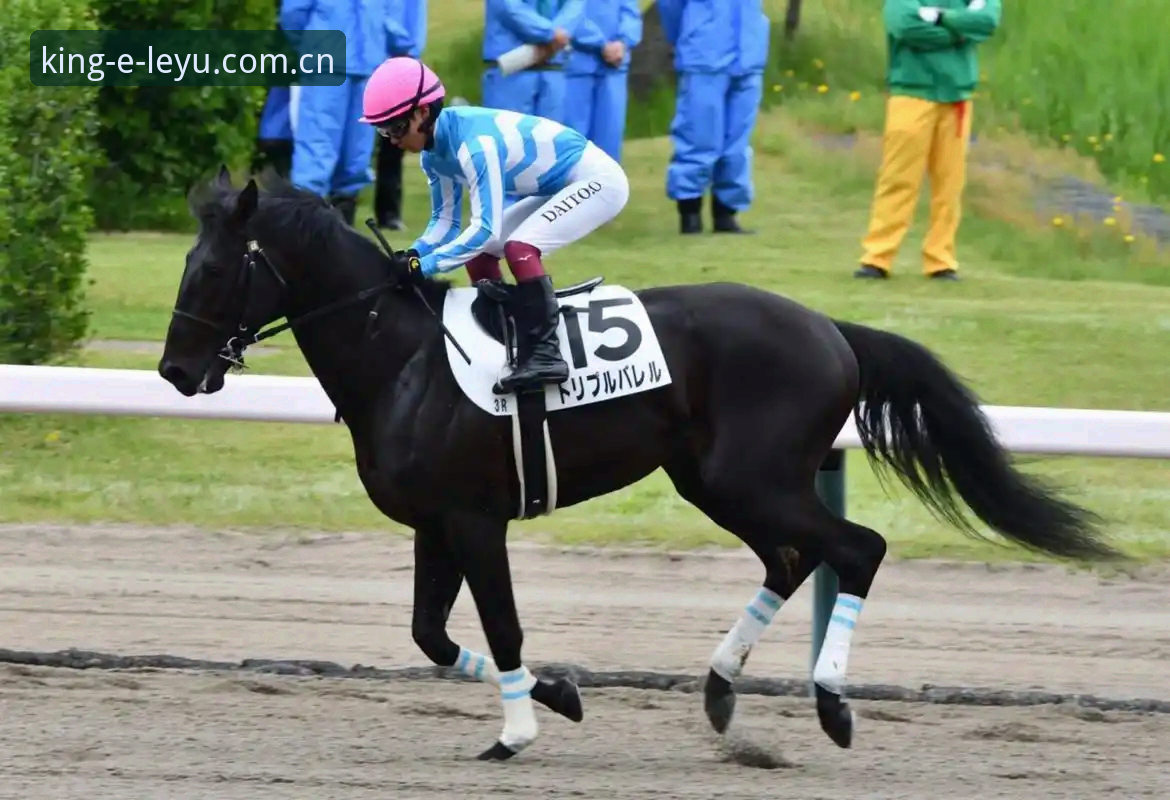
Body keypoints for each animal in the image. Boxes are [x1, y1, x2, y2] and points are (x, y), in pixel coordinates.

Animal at [158, 168, 1117, 761]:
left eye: (212, 271)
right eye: (188, 263)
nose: (174, 371)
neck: (403, 359)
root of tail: (832, 329)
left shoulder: (475, 518)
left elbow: (501, 625)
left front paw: (517, 733)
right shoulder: (435, 523)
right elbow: (432, 636)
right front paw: (558, 695)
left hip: (750, 478)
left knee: (857, 549)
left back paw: (832, 703)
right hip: (716, 481)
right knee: (792, 558)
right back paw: (721, 689)